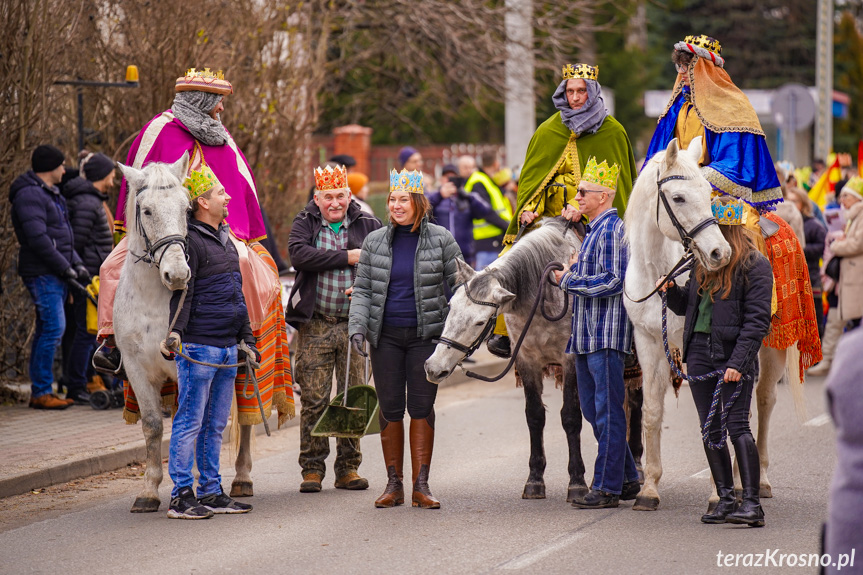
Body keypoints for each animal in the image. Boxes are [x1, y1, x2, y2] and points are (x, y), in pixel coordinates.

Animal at [624, 137, 808, 510]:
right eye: (679, 197)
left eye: (708, 194)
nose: (718, 253)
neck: (659, 269)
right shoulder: (649, 342)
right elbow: (652, 411)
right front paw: (649, 488)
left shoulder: (701, 349)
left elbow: (712, 415)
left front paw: (715, 493)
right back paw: (738, 480)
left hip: (770, 347)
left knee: (764, 401)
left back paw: (758, 480)